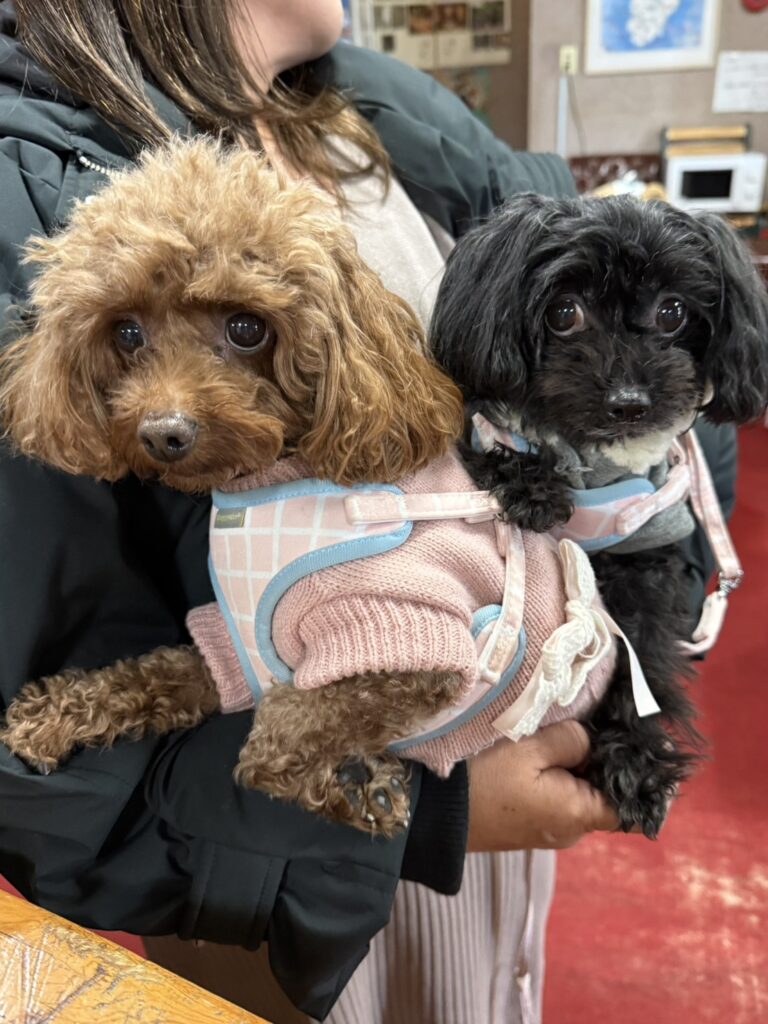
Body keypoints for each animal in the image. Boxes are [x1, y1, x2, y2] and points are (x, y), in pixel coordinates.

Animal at [430, 192, 768, 836]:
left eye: (672, 312)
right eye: (564, 312)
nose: (628, 404)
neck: (592, 461)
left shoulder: (646, 549)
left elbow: (643, 663)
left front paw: (637, 762)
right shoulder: (479, 425)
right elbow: (495, 446)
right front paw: (532, 486)